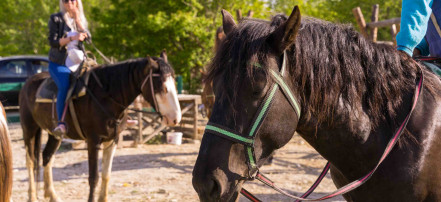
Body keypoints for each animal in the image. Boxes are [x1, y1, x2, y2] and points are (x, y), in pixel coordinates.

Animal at [19, 52, 181, 202]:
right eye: (163, 87)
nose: (175, 118)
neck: (105, 96)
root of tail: (28, 83)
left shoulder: (112, 140)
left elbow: (106, 174)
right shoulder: (93, 141)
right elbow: (93, 177)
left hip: (55, 135)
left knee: (47, 156)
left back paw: (52, 195)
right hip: (29, 129)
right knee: (30, 161)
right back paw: (32, 196)